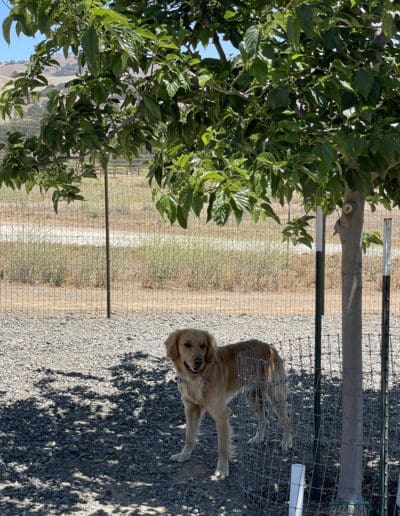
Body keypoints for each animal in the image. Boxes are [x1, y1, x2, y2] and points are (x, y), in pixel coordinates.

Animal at [164, 328, 292, 482]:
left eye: (203, 346)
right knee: (263, 416)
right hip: (252, 395)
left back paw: (286, 443)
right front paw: (184, 455)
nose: (198, 362)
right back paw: (258, 438)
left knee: (286, 418)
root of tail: (269, 346)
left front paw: (221, 470)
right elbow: (189, 436)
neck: (198, 377)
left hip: (275, 394)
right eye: (187, 345)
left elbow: (222, 447)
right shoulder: (190, 408)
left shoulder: (221, 413)